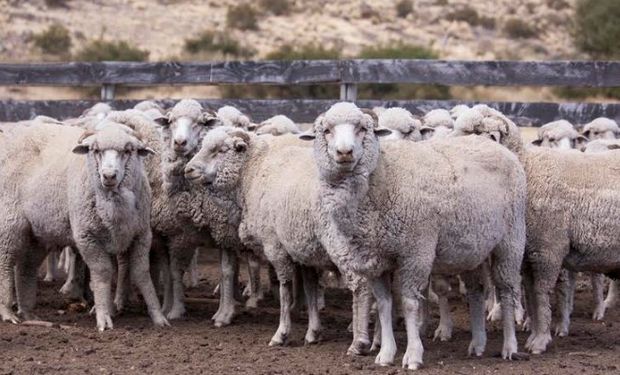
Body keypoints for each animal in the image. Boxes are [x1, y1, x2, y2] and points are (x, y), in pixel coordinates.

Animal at [0, 122, 167, 330]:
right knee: (5, 262)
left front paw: (158, 316)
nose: (108, 176)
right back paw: (7, 311)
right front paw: (104, 316)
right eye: (95, 150)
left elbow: (141, 273)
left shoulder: (141, 234)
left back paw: (28, 314)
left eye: (128, 151)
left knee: (26, 266)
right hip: (10, 222)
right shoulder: (87, 236)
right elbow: (103, 273)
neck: (114, 204)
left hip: (38, 232)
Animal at [183, 126, 372, 356]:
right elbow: (309, 289)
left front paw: (281, 334)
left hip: (343, 245)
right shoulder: (303, 248)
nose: (188, 170)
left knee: (361, 285)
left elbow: (284, 290)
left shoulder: (276, 246)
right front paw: (313, 333)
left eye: (220, 150)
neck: (254, 171)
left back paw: (359, 342)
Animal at [302, 101, 524, 368]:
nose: (344, 152)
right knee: (476, 291)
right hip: (473, 247)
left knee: (507, 290)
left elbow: (409, 304)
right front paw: (386, 353)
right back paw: (478, 344)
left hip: (510, 240)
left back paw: (510, 346)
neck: (383, 177)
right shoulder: (375, 259)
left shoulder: (415, 252)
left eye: (362, 129)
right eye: (326, 131)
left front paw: (413, 355)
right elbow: (385, 305)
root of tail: (495, 146)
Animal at [448, 104, 620, 354]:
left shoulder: (548, 249)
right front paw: (534, 335)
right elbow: (530, 293)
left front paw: (540, 340)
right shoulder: (529, 253)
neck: (526, 168)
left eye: (471, 134)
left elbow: (540, 293)